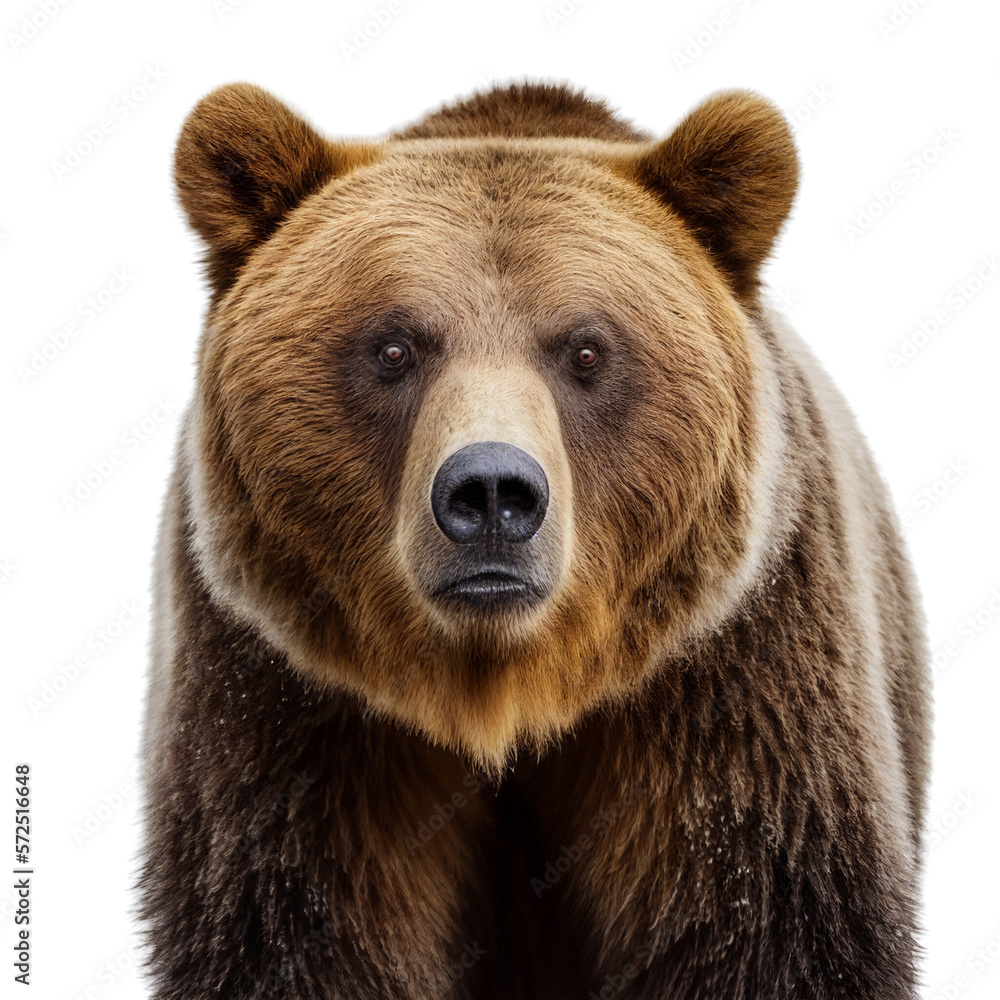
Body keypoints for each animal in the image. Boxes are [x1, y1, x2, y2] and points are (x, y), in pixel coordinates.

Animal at [137, 81, 931, 1000]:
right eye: (394, 345)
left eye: (586, 349)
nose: (490, 494)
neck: (505, 687)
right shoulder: (285, 699)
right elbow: (295, 930)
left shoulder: (733, 680)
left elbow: (763, 920)